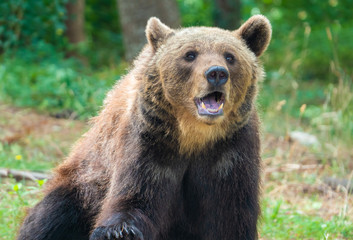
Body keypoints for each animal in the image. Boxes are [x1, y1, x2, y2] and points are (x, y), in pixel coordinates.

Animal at [16, 15, 270, 240]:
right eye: (190, 54)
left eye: (230, 56)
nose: (216, 73)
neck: (193, 135)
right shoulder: (150, 142)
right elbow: (135, 197)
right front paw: (118, 232)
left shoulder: (229, 151)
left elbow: (230, 214)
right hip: (82, 182)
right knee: (52, 215)